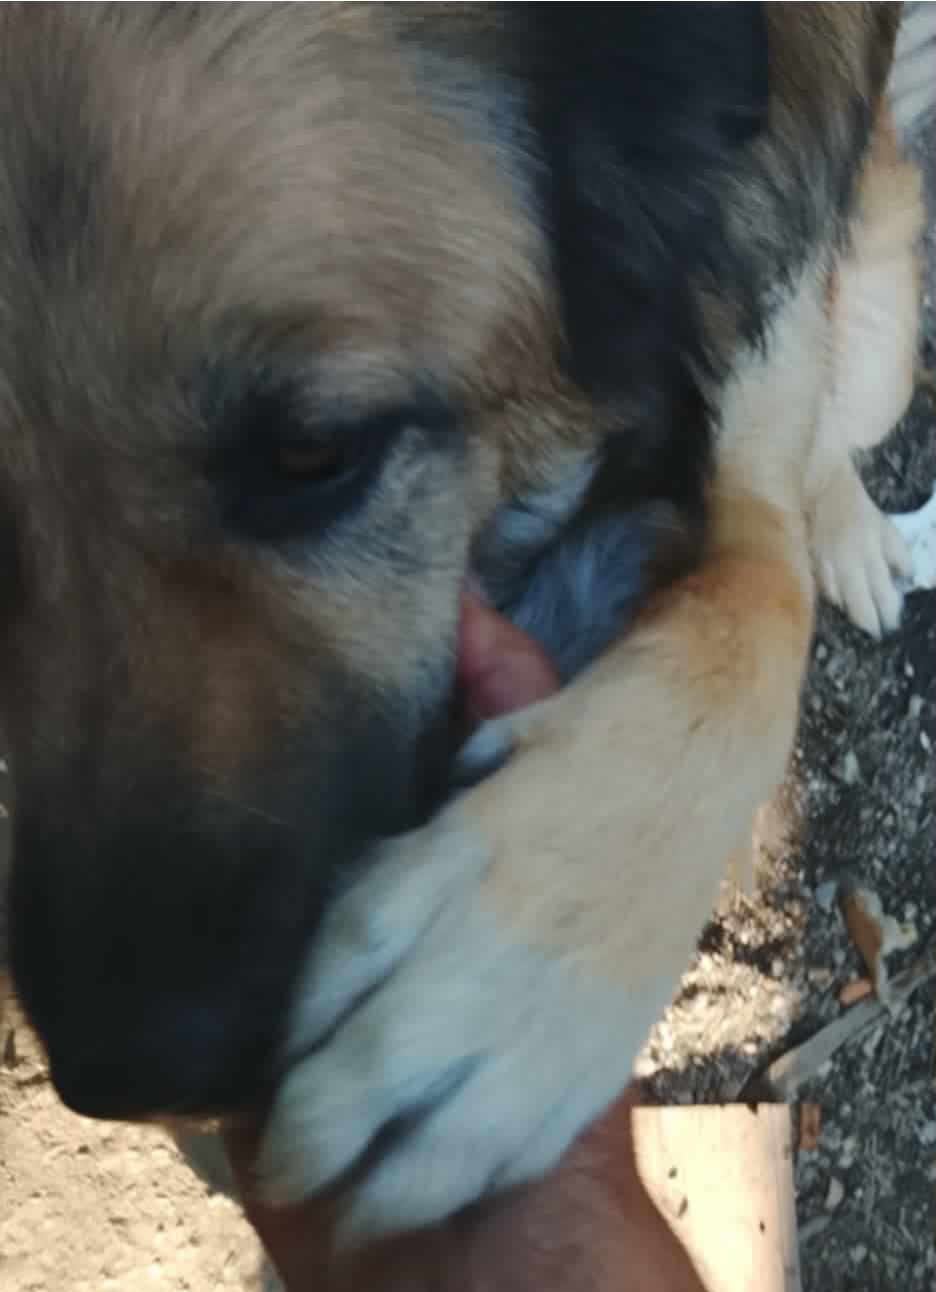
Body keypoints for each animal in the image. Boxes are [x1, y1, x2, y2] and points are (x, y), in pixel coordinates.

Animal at [1, 0, 930, 1245]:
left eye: (316, 452)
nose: (129, 1072)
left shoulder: (751, 404)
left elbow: (755, 607)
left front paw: (498, 974)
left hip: (872, 333)